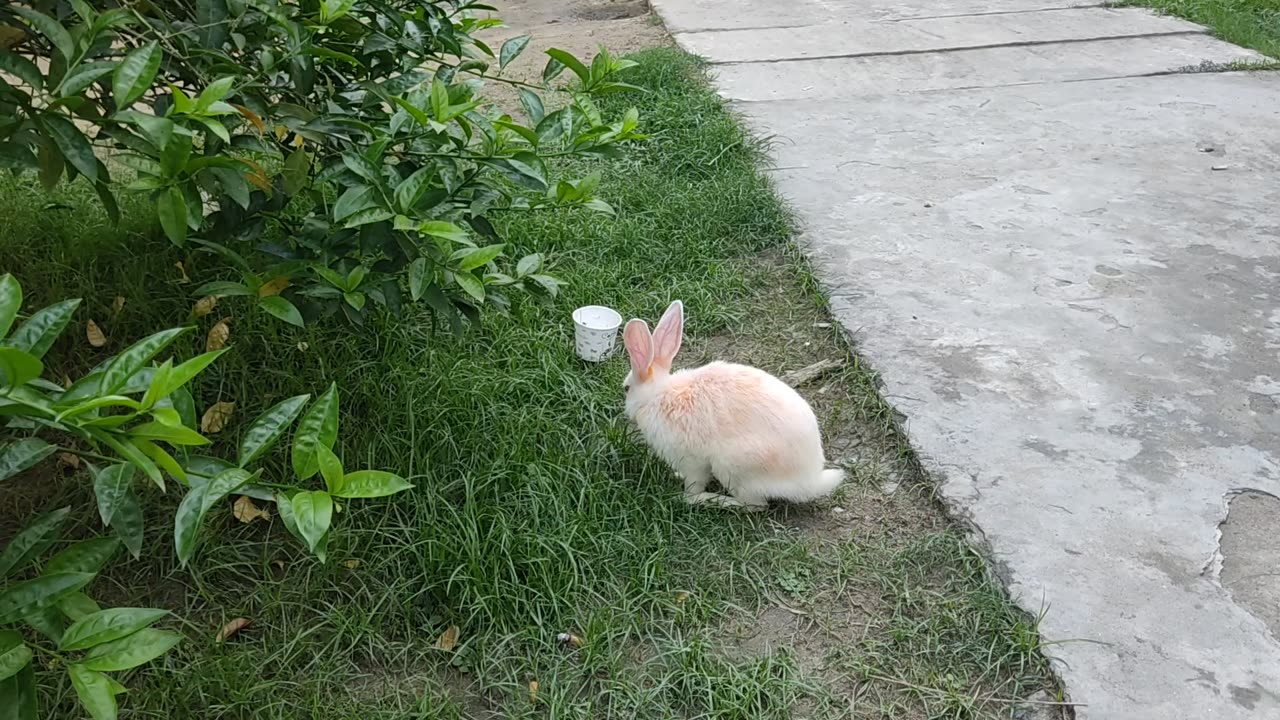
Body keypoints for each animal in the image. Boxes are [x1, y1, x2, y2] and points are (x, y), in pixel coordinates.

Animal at [622, 299, 844, 507]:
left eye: (626, 388)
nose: (625, 408)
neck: (658, 394)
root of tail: (809, 482)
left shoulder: (692, 462)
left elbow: (694, 485)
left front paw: (687, 497)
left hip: (731, 467)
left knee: (755, 505)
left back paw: (715, 500)